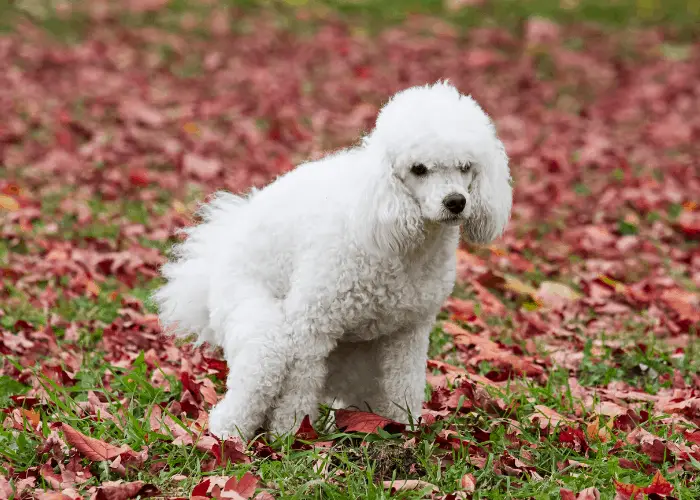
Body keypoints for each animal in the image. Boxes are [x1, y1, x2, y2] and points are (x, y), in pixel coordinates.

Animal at [154, 82, 516, 438]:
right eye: (419, 169)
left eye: (466, 167)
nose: (456, 202)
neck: (406, 243)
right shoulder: (309, 325)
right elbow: (297, 390)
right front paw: (291, 435)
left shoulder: (409, 332)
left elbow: (405, 383)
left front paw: (406, 428)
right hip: (261, 333)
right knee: (251, 386)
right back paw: (229, 436)